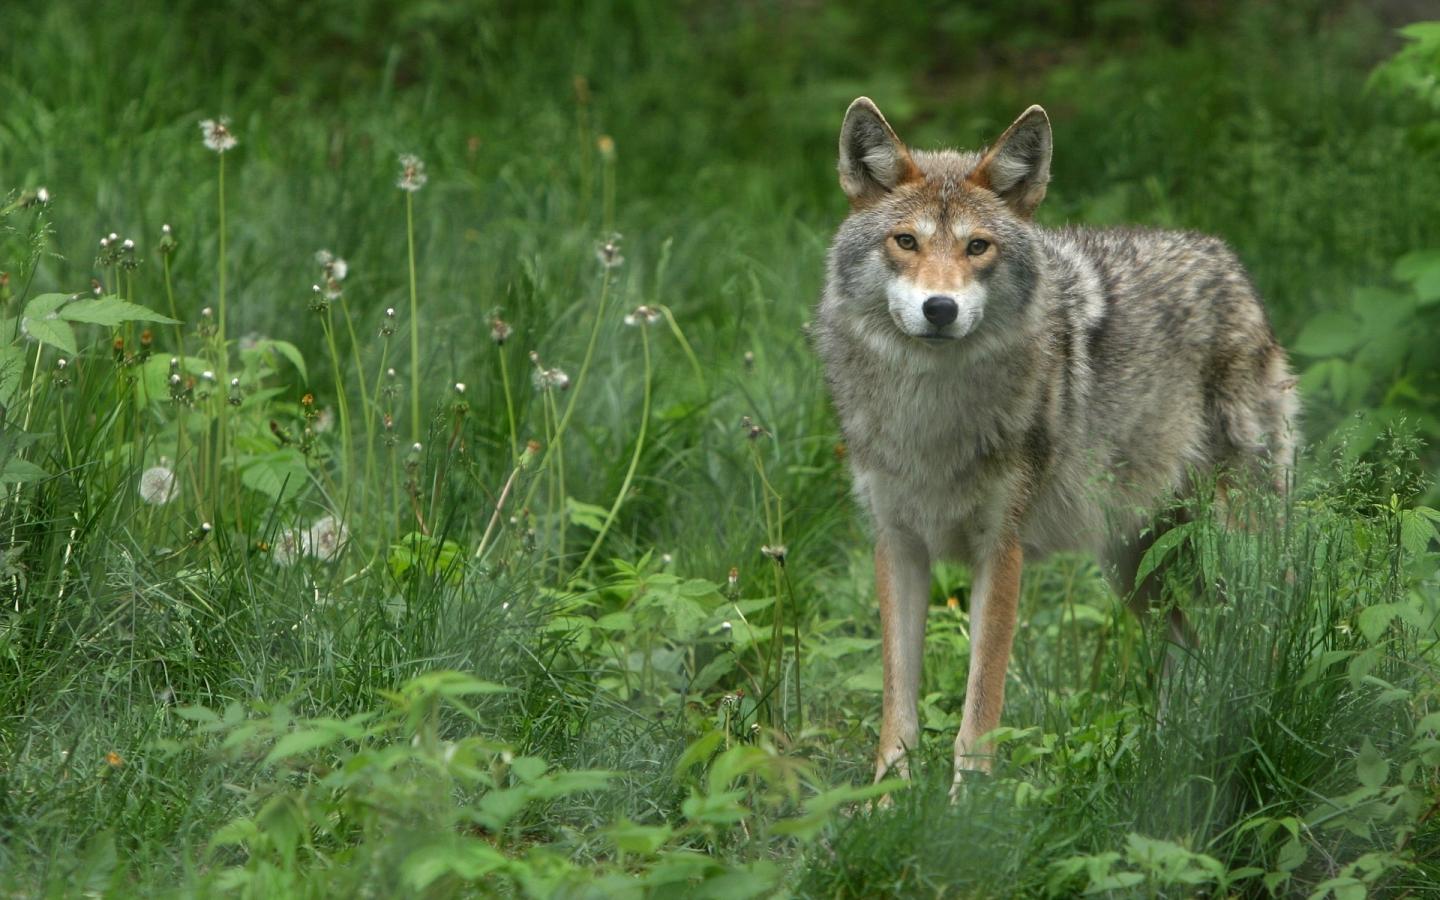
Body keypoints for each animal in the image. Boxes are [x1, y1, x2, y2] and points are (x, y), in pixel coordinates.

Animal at [813, 98, 1299, 791]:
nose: (940, 309)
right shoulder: (897, 543)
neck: (931, 415)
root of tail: (1230, 263)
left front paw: (966, 807)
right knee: (1191, 650)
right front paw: (884, 801)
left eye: (978, 246)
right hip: (1138, 571)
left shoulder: (1001, 550)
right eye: (905, 241)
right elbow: (897, 707)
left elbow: (979, 709)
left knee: (1267, 629)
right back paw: (1172, 760)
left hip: (1231, 548)